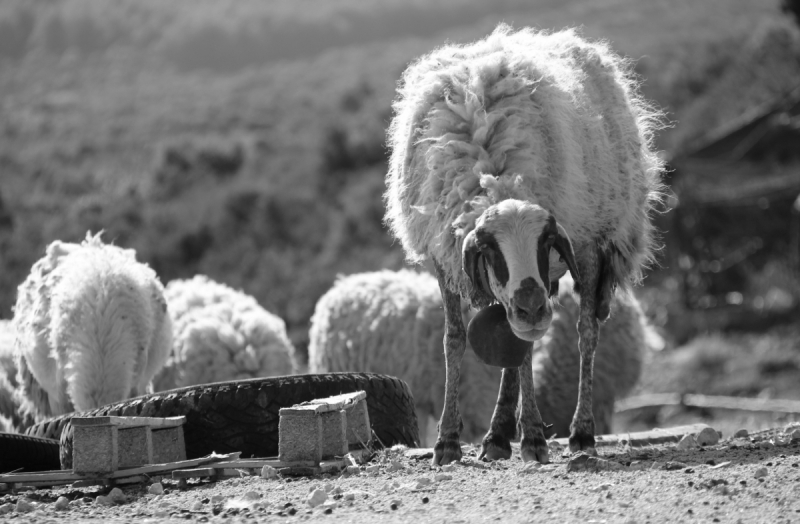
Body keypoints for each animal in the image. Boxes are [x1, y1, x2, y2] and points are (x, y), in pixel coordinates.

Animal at [384, 24, 664, 462]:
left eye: (545, 239)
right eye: (489, 249)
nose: (532, 308)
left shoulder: (547, 269)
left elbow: (531, 345)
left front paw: (532, 436)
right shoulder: (444, 258)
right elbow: (454, 340)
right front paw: (447, 441)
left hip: (595, 244)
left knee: (586, 332)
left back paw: (580, 432)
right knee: (514, 336)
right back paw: (498, 434)